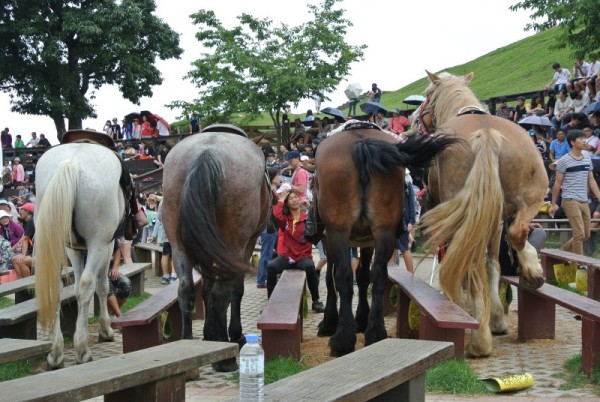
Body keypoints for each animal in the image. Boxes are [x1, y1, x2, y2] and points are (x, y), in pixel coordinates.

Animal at [34, 141, 126, 368]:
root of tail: (71, 161)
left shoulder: (72, 249)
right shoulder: (107, 246)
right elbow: (102, 287)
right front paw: (105, 330)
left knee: (55, 289)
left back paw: (56, 353)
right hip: (98, 242)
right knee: (87, 285)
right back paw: (82, 349)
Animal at [161, 124, 270, 372]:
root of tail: (206, 153)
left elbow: (206, 290)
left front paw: (209, 334)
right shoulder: (245, 248)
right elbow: (235, 290)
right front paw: (233, 335)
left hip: (179, 247)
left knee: (186, 289)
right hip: (233, 245)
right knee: (222, 295)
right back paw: (225, 357)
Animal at [314, 123, 454, 358]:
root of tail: (361, 142)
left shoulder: (329, 238)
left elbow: (332, 278)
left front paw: (329, 322)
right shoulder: (368, 241)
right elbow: (363, 276)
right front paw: (361, 319)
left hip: (338, 231)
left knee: (344, 277)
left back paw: (343, 340)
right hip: (384, 231)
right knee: (378, 274)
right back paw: (375, 332)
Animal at [412, 70, 548, 356]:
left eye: (427, 93)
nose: (413, 118)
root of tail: (487, 134)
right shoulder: (495, 220)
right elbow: (493, 264)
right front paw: (496, 317)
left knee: (470, 263)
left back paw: (479, 339)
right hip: (530, 198)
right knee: (516, 233)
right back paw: (532, 271)